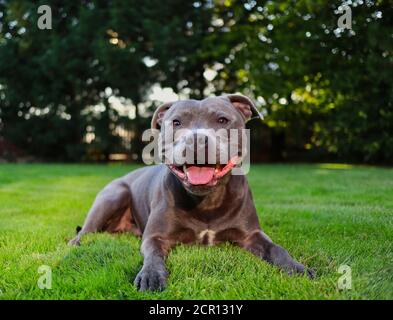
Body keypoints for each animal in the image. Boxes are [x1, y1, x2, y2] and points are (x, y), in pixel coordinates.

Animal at [68, 94, 312, 290]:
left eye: (222, 120)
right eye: (176, 122)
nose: (196, 139)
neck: (207, 200)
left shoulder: (251, 234)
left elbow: (277, 249)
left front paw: (296, 268)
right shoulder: (155, 237)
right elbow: (153, 255)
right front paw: (150, 276)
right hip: (114, 194)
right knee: (86, 230)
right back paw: (75, 243)